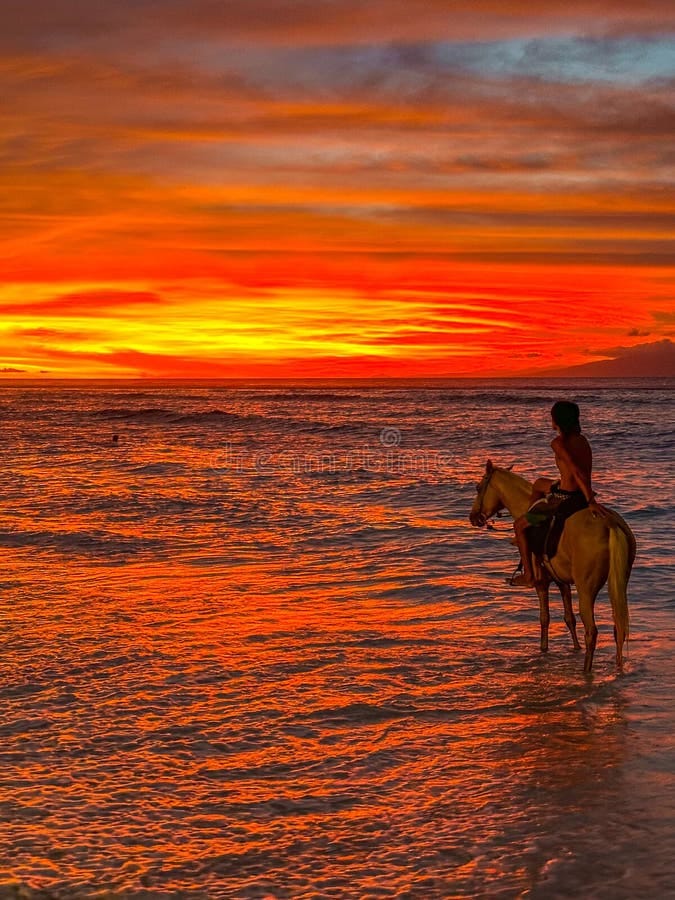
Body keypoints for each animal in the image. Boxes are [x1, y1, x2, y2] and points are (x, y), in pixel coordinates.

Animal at [469, 460, 636, 673]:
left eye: (478, 488)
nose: (473, 517)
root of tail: (610, 525)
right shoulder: (561, 581)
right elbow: (569, 618)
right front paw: (575, 648)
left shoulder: (542, 583)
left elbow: (544, 618)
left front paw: (543, 649)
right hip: (619, 583)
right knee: (618, 628)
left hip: (586, 589)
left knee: (591, 631)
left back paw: (586, 670)